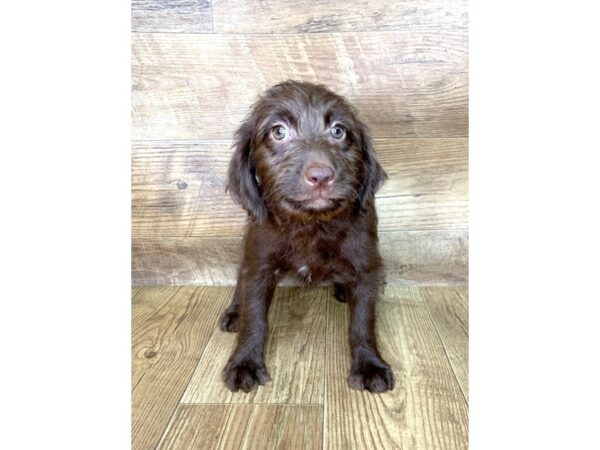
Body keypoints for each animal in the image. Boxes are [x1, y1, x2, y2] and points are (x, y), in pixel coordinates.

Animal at [220, 81, 394, 394]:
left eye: (338, 131)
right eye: (278, 131)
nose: (321, 176)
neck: (311, 223)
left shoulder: (366, 265)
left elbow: (363, 321)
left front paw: (369, 364)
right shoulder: (259, 262)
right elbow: (255, 317)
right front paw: (245, 362)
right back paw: (234, 311)